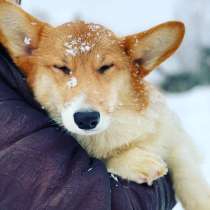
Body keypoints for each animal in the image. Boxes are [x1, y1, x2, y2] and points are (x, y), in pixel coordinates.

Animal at [0, 0, 210, 209]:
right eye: (62, 68)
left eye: (105, 67)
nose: (86, 119)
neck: (114, 129)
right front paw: (135, 161)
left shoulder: (173, 133)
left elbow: (187, 173)